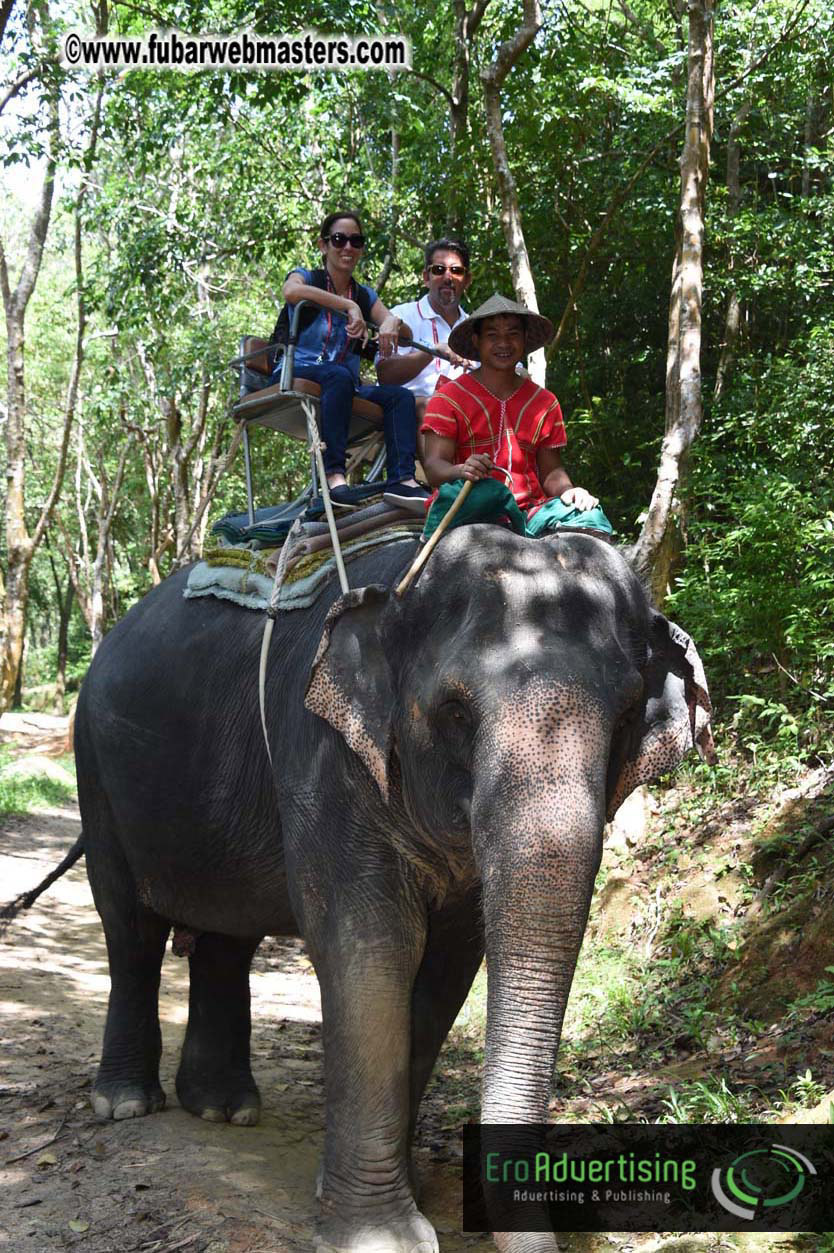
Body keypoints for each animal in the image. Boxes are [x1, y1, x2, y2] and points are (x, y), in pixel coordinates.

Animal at [73, 524, 713, 1253]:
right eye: (456, 711)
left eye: (629, 712)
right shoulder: (325, 753)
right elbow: (374, 946)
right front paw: (380, 1236)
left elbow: (446, 965)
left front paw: (374, 1192)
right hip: (96, 768)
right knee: (130, 927)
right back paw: (127, 1103)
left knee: (227, 938)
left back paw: (222, 1108)